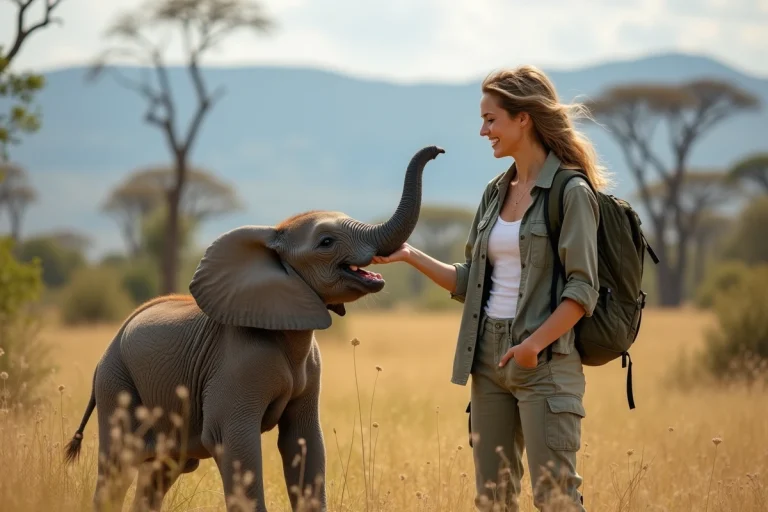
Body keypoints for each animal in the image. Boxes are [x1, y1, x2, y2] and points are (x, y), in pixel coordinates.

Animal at [63, 145, 445, 512]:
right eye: (326, 242)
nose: (438, 150)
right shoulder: (235, 365)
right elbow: (235, 444)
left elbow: (304, 440)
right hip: (117, 381)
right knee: (118, 466)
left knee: (162, 471)